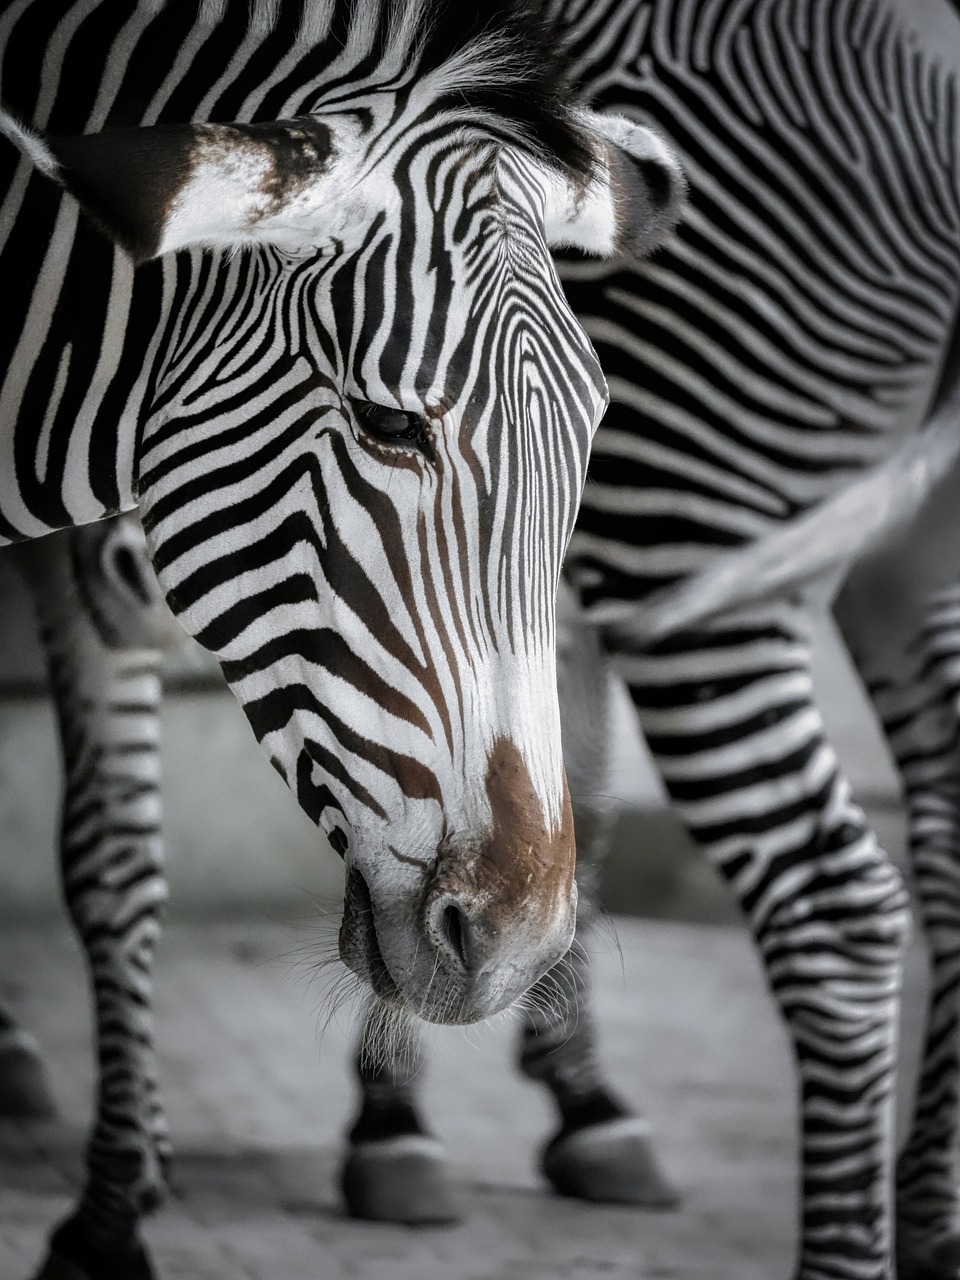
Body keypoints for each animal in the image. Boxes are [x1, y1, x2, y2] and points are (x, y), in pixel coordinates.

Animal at [0, 1, 685, 1275]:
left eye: (590, 437)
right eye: (386, 422)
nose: (516, 946)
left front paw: (119, 1193)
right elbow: (105, 856)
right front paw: (115, 1201)